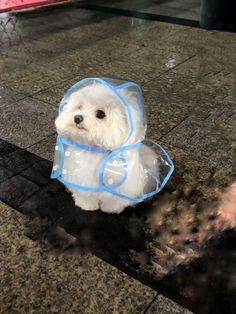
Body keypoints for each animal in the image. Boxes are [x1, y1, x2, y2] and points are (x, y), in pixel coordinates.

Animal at [55, 81, 159, 213]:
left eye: (100, 114)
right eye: (79, 107)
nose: (77, 117)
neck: (95, 150)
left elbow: (115, 200)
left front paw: (111, 209)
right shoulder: (79, 177)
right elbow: (84, 193)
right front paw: (86, 204)